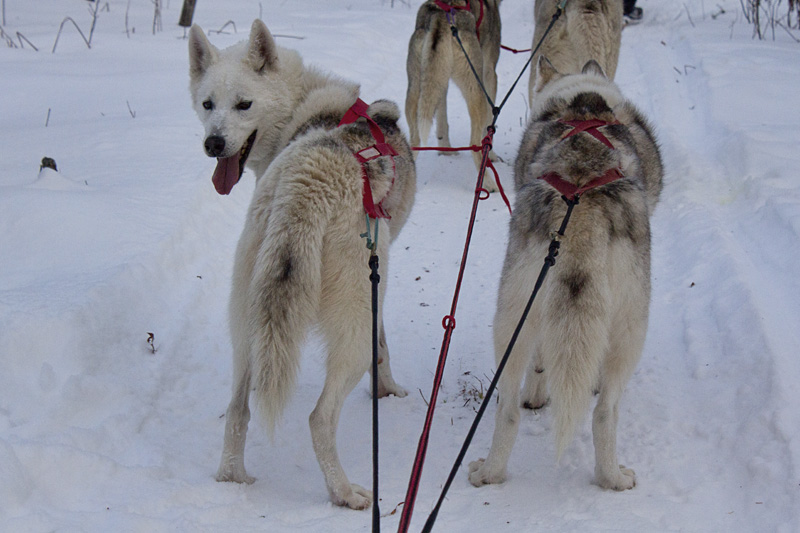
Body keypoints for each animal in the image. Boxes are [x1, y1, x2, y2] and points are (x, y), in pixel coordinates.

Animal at [185, 19, 416, 508]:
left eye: (243, 104)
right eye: (208, 104)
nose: (214, 143)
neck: (300, 107)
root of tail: (309, 181)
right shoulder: (378, 292)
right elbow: (383, 348)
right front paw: (387, 391)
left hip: (247, 312)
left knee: (238, 408)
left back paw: (233, 475)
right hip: (357, 313)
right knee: (320, 418)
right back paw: (345, 492)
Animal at [406, 0, 500, 190]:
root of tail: (440, 17)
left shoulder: (440, 79)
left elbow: (442, 120)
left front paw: (445, 149)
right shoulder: (489, 75)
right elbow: (489, 125)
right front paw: (492, 155)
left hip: (415, 90)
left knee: (414, 142)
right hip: (476, 92)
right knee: (475, 144)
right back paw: (488, 183)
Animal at [468, 58, 664, 490]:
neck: (586, 103)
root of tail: (581, 190)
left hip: (512, 318)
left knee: (511, 409)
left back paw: (495, 472)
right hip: (633, 327)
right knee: (603, 410)